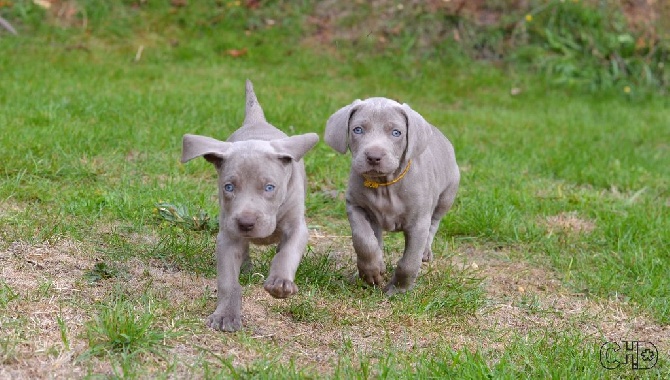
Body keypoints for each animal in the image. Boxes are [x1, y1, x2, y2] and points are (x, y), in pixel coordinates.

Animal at [181, 80, 320, 330]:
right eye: (228, 187)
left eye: (269, 188)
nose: (246, 223)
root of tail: (257, 121)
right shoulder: (228, 235)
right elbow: (228, 281)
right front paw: (225, 315)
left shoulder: (297, 226)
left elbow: (287, 253)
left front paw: (280, 282)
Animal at [326, 96, 462, 296]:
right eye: (357, 129)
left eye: (396, 133)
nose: (373, 156)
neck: (384, 185)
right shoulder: (356, 206)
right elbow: (364, 240)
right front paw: (371, 271)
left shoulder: (418, 223)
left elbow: (409, 262)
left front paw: (398, 289)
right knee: (376, 238)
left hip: (447, 195)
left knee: (434, 223)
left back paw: (425, 252)